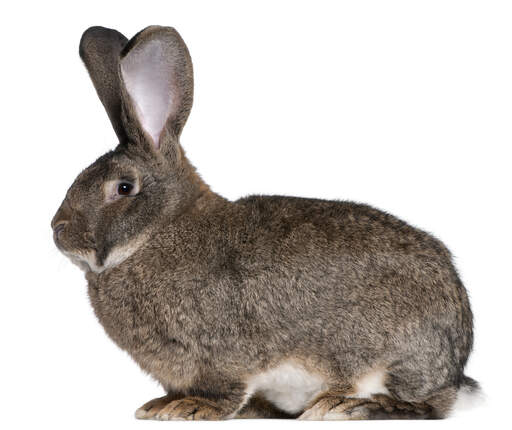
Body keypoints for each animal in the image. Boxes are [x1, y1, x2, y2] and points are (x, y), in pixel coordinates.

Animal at [52, 26, 480, 420]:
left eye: (123, 188)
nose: (58, 229)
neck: (158, 230)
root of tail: (456, 362)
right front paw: (160, 405)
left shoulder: (219, 355)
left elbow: (222, 390)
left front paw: (189, 408)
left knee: (422, 404)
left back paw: (342, 405)